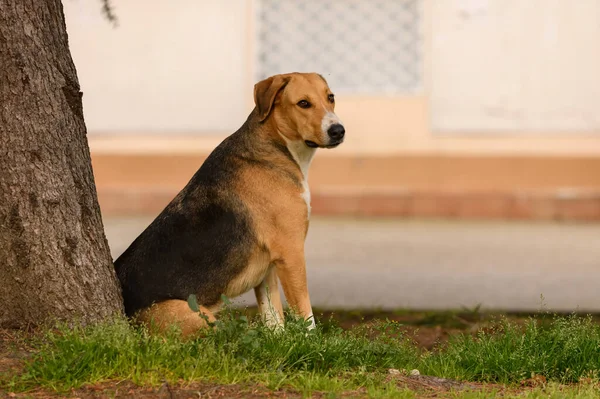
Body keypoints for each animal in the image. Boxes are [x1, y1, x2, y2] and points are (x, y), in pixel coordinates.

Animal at [115, 72, 344, 338]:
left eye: (330, 97)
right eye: (303, 103)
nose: (339, 131)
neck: (277, 145)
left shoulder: (268, 268)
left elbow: (274, 319)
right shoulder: (291, 253)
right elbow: (306, 314)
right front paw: (313, 342)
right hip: (204, 318)